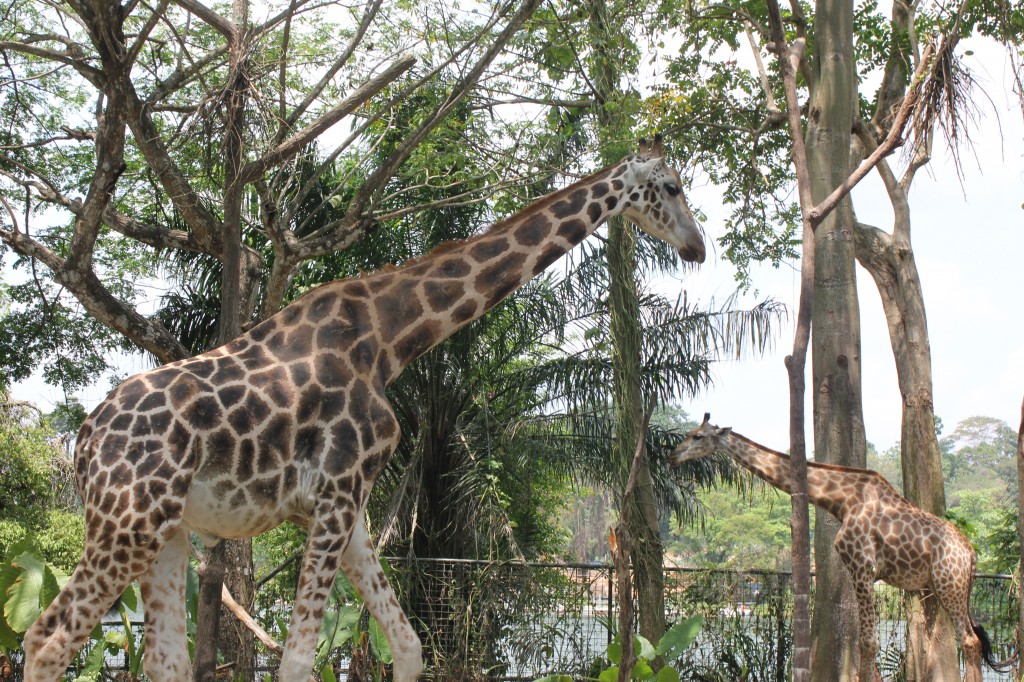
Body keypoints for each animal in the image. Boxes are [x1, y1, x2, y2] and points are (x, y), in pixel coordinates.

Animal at [24, 135, 708, 675]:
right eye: (672, 187)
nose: (697, 247)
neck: (391, 339)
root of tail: (82, 440)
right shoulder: (336, 493)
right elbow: (299, 658)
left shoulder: (344, 507)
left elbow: (407, 645)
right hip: (128, 520)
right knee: (46, 640)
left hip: (167, 529)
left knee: (160, 658)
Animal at [667, 411, 1011, 679]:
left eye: (697, 436)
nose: (673, 455)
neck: (842, 501)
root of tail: (971, 554)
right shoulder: (862, 572)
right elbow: (866, 643)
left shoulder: (863, 567)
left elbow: (868, 643)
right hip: (947, 587)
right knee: (973, 641)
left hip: (948, 583)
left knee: (969, 640)